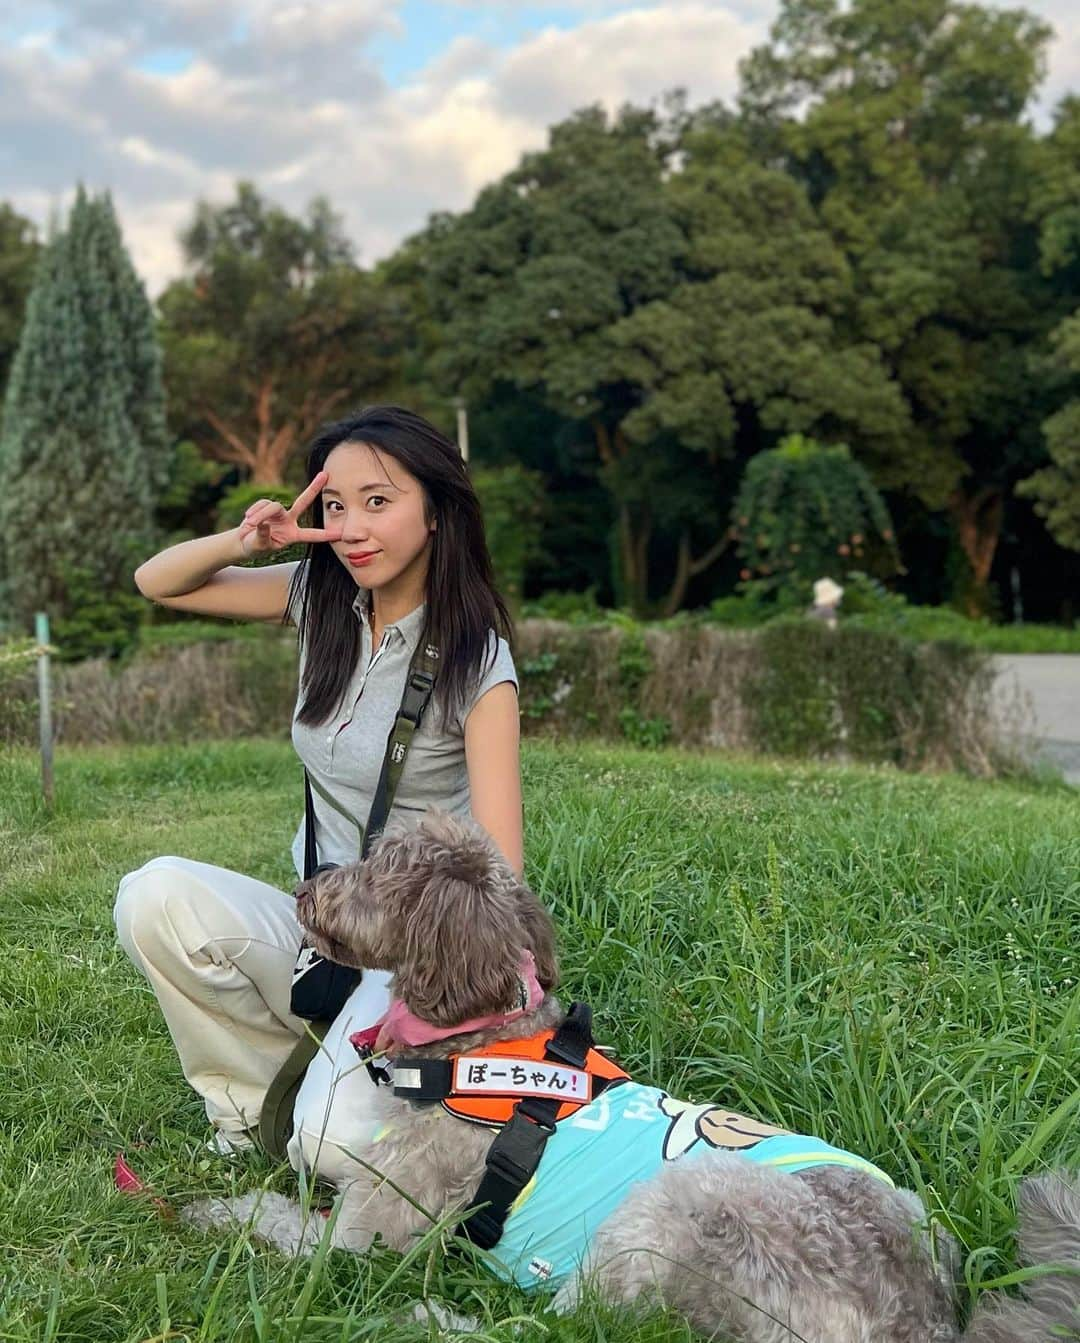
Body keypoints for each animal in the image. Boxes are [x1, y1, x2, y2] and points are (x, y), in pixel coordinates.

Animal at [193, 811, 1080, 1337]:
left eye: (380, 869)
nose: (306, 888)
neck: (482, 1036)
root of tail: (922, 1314)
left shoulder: (380, 1228)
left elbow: (286, 1221)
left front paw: (215, 1210)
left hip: (676, 1205)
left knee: (558, 1327)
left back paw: (428, 1315)